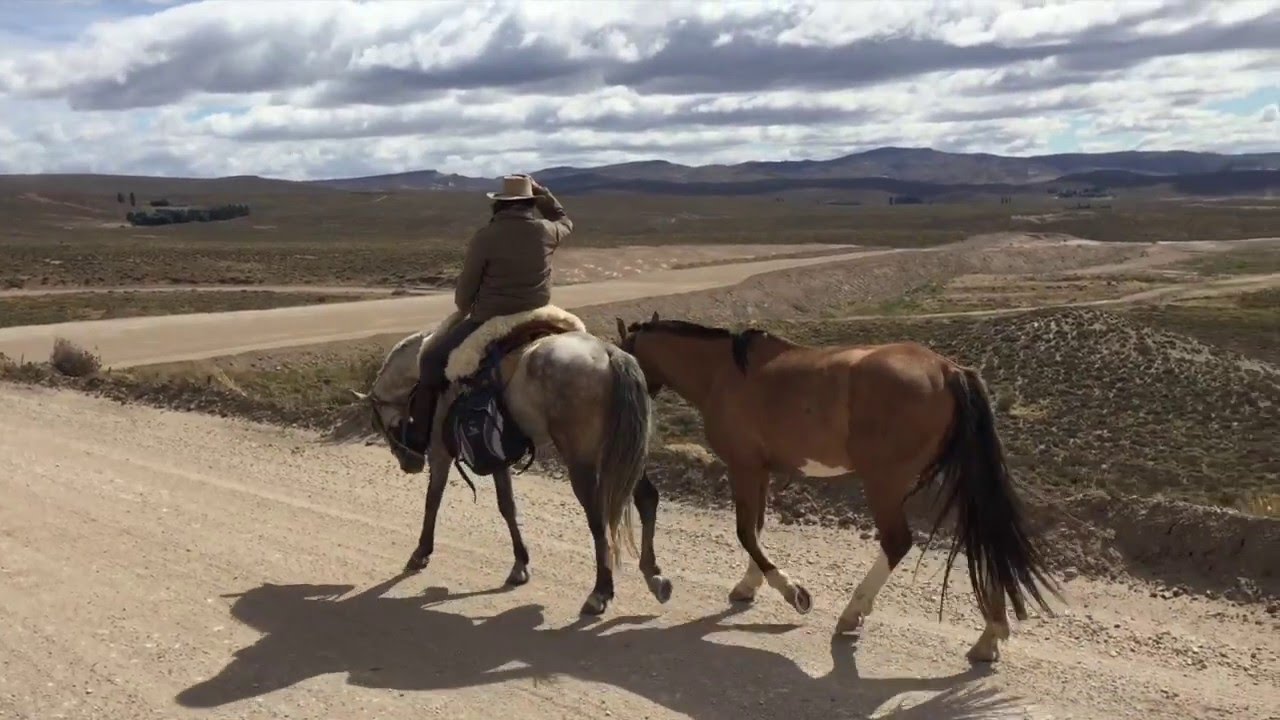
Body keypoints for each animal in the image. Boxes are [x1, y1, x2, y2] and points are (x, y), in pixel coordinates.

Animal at [351, 304, 673, 616]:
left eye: (379, 424)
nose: (410, 464)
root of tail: (610, 353)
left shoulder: (441, 452)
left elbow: (433, 499)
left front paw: (420, 553)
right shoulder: (498, 457)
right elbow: (507, 505)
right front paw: (520, 564)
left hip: (582, 461)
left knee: (597, 518)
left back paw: (600, 592)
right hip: (623, 455)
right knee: (646, 498)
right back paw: (654, 575)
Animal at [615, 312, 1061, 662]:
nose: (632, 404)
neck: (723, 374)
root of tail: (949, 371)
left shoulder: (744, 468)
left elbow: (745, 532)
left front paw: (793, 592)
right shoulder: (762, 471)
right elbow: (756, 528)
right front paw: (749, 586)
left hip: (885, 483)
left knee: (899, 542)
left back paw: (852, 614)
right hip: (942, 480)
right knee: (980, 534)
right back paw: (990, 636)